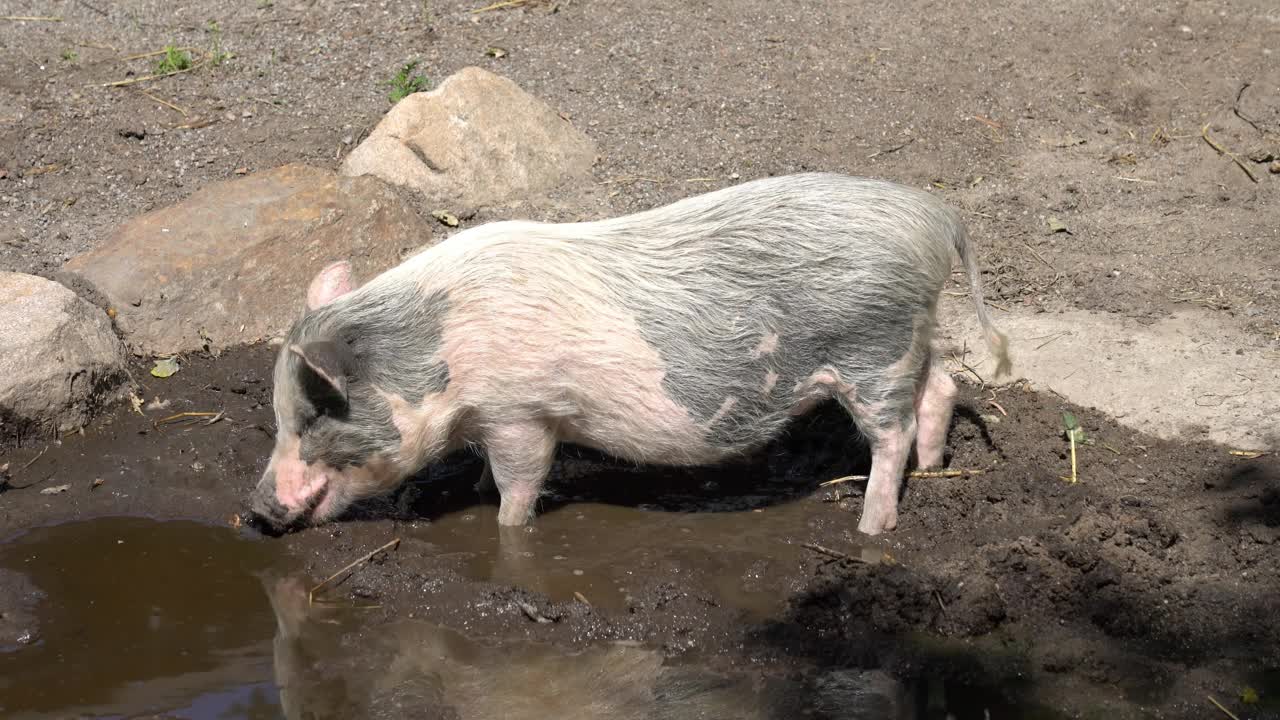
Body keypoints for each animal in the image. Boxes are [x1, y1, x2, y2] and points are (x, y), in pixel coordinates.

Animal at [249, 172, 1008, 532]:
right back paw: (934, 469)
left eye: (315, 416)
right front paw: (475, 489)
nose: (254, 514)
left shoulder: (521, 412)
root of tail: (934, 216)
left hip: (871, 350)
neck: (437, 353)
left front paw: (505, 523)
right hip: (907, 339)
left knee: (890, 433)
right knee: (941, 388)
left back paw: (872, 528)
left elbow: (521, 483)